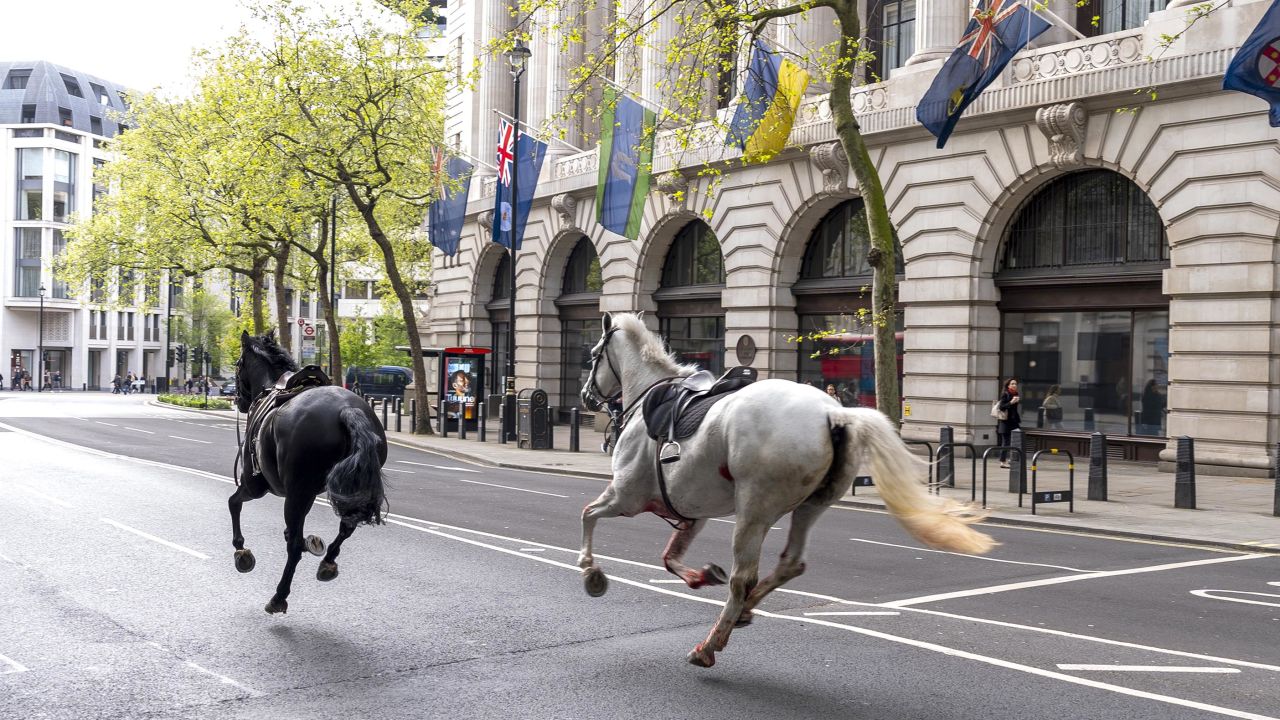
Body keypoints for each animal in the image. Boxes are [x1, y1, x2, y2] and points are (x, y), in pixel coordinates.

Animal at [230, 330, 386, 609]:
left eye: (238, 364)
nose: (238, 401)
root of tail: (347, 410)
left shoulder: (255, 484)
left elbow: (233, 503)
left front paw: (241, 550)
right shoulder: (309, 492)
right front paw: (311, 544)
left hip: (291, 493)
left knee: (293, 547)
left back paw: (279, 596)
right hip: (345, 490)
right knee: (346, 526)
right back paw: (327, 562)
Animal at [581, 311, 998, 666]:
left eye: (593, 356)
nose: (586, 397)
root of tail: (835, 412)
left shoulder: (627, 496)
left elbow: (588, 515)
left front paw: (590, 572)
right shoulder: (691, 510)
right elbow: (669, 556)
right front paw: (700, 575)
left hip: (753, 510)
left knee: (743, 578)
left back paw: (711, 643)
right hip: (811, 504)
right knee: (790, 563)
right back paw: (745, 610)